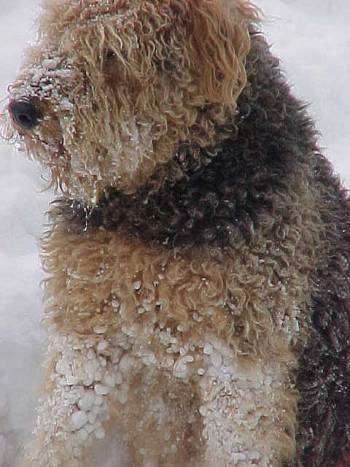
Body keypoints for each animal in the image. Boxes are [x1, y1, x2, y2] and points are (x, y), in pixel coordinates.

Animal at [2, 0, 350, 466]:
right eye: (57, 29)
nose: (22, 109)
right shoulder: (90, 330)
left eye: (113, 52)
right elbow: (60, 433)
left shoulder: (241, 359)